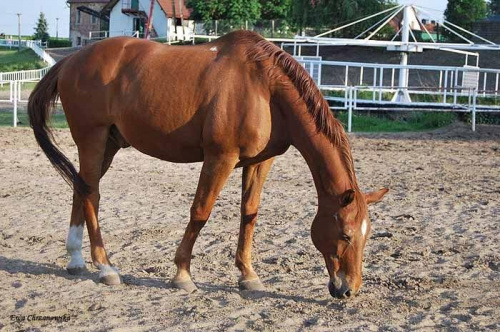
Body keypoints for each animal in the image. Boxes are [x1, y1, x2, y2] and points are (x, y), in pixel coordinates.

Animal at [27, 31, 388, 300]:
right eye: (345, 234)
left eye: (367, 235)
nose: (348, 290)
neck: (264, 87)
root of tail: (71, 60)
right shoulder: (220, 157)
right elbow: (200, 211)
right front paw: (182, 274)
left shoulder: (261, 162)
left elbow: (249, 214)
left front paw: (248, 275)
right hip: (93, 139)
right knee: (91, 194)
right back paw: (105, 267)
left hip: (109, 145)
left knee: (81, 188)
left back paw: (76, 260)